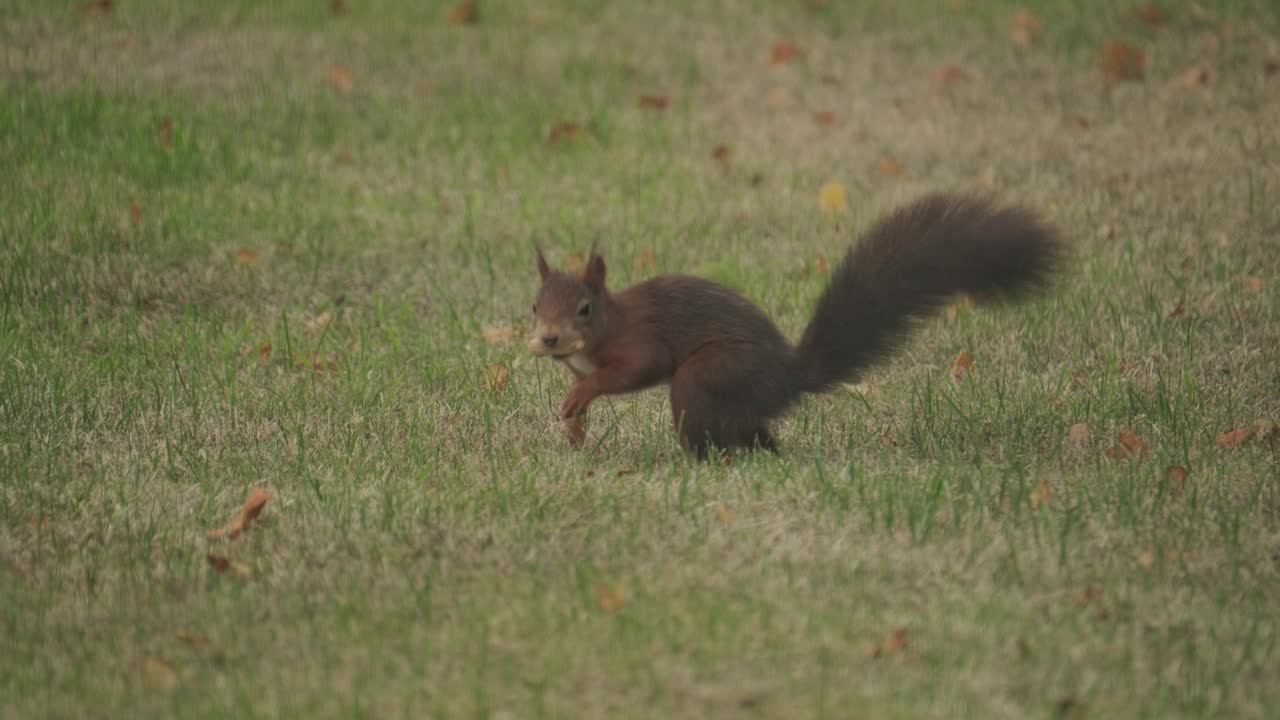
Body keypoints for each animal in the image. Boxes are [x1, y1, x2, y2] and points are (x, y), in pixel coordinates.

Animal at [522, 192, 1059, 453]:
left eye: (584, 309)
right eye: (534, 306)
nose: (548, 338)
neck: (605, 327)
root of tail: (789, 377)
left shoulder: (641, 340)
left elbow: (634, 368)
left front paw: (582, 396)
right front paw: (574, 433)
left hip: (707, 376)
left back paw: (691, 463)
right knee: (756, 436)